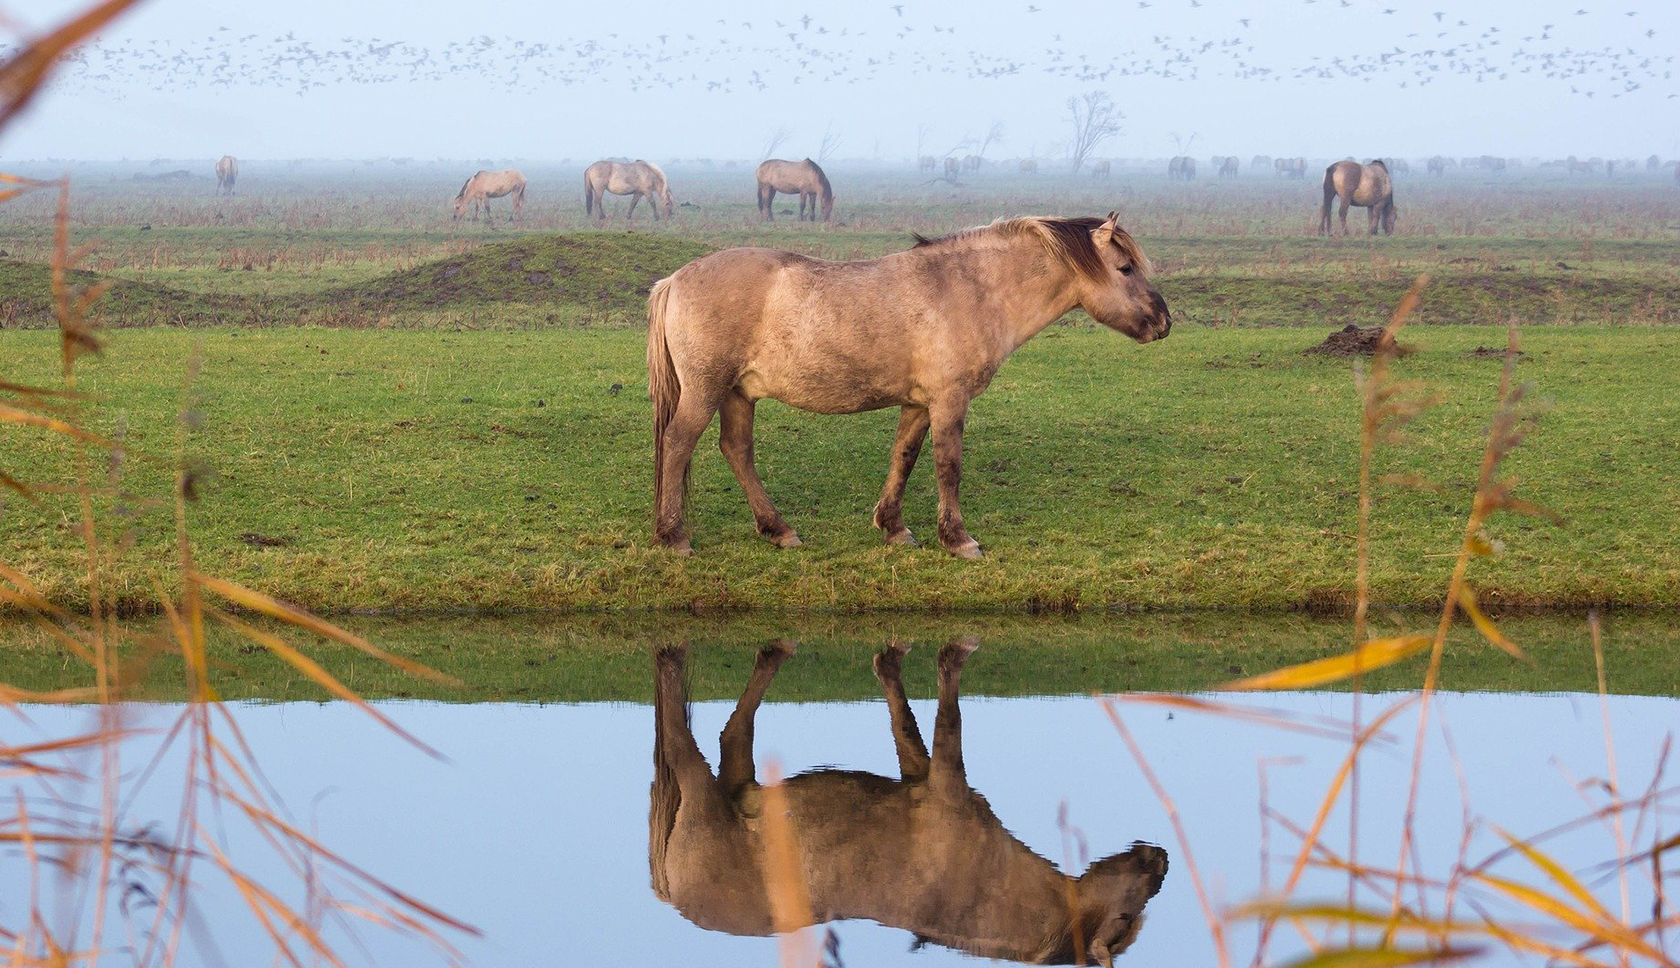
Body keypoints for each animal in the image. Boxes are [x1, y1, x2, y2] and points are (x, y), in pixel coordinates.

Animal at [646, 213, 1170, 557]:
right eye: (1125, 268)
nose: (1164, 322)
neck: (967, 288)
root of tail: (674, 280)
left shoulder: (919, 404)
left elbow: (905, 456)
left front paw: (894, 528)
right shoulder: (949, 400)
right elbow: (948, 466)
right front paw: (958, 539)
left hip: (738, 393)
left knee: (736, 450)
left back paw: (778, 529)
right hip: (706, 390)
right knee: (677, 443)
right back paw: (674, 536)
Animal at [650, 640, 1169, 967]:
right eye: (1125, 919)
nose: (1161, 857)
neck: (984, 886)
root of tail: (671, 894)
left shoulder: (922, 773)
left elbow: (903, 719)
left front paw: (889, 660)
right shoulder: (946, 781)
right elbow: (949, 716)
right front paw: (951, 654)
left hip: (737, 780)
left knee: (733, 732)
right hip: (701, 792)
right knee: (679, 738)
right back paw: (674, 657)